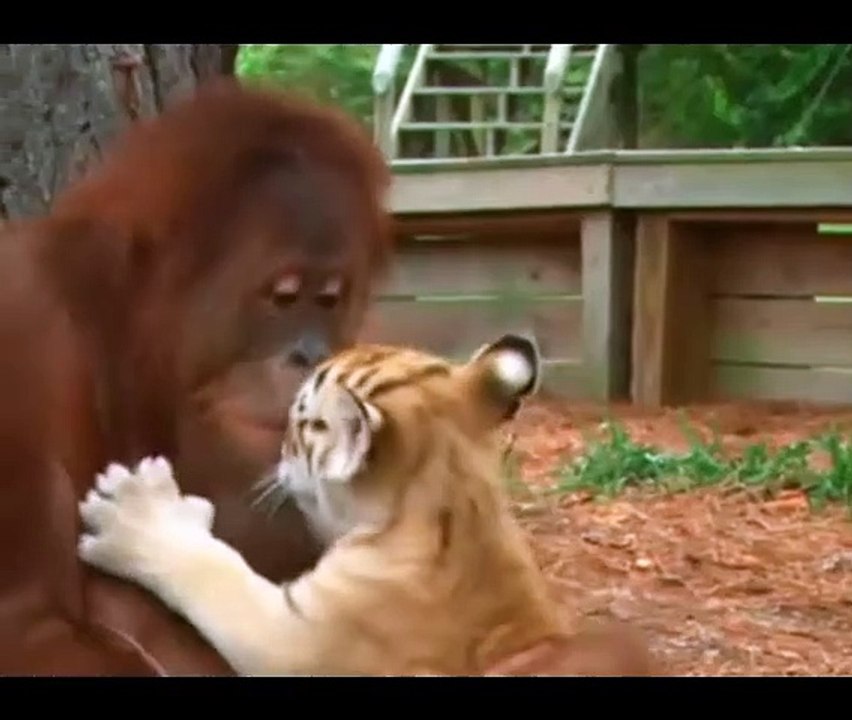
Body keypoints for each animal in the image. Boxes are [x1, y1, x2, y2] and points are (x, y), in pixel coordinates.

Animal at [76, 332, 657, 676]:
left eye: (300, 426)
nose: (278, 452)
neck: (456, 501)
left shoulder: (297, 638)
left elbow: (212, 570)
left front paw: (132, 512)